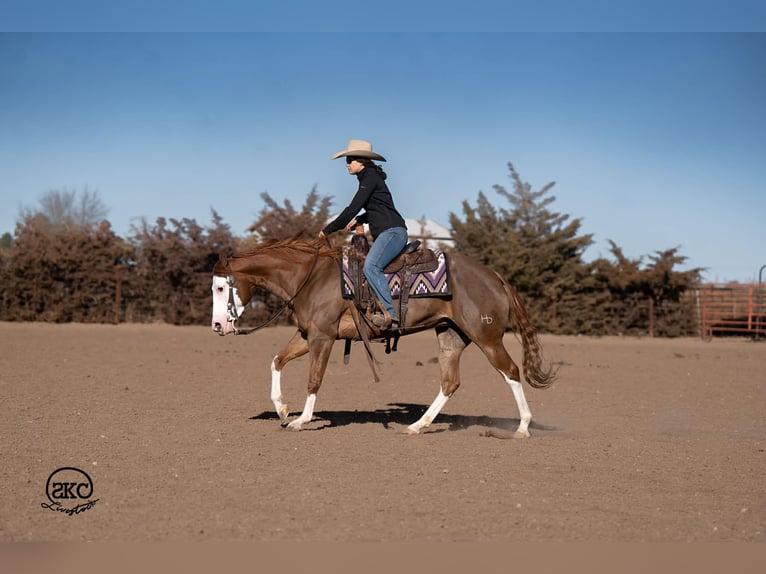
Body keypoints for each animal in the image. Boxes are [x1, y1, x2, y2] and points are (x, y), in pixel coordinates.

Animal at [210, 238, 557, 436]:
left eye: (220, 286)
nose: (217, 326)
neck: (310, 277)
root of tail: (494, 277)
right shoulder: (307, 334)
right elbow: (277, 362)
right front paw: (282, 410)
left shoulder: (323, 337)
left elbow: (314, 379)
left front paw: (301, 420)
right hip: (451, 335)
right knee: (450, 382)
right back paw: (418, 426)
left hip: (487, 338)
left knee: (511, 372)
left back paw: (523, 427)